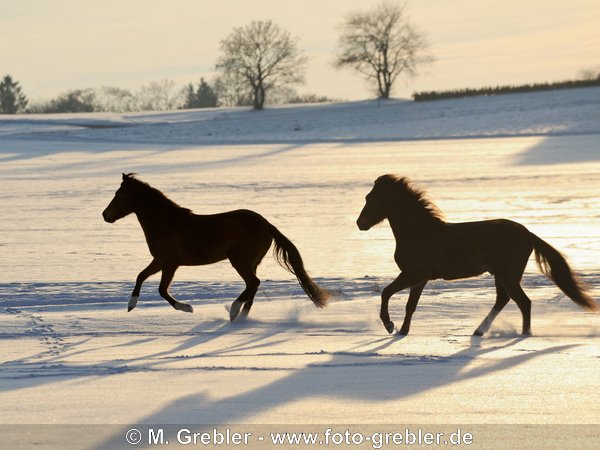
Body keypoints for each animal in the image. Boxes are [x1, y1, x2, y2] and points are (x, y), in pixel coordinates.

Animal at [103, 173, 328, 320]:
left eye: (119, 195)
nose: (105, 215)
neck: (166, 223)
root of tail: (266, 224)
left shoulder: (170, 263)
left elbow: (162, 290)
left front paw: (187, 308)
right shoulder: (160, 260)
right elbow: (140, 276)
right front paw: (131, 305)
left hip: (240, 260)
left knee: (253, 283)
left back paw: (234, 310)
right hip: (251, 262)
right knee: (253, 286)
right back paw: (241, 316)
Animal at [356, 174, 596, 336]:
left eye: (370, 198)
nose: (360, 224)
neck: (420, 233)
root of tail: (528, 234)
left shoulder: (412, 274)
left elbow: (386, 293)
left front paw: (389, 326)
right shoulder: (419, 279)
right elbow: (410, 305)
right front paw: (402, 331)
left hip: (507, 275)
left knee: (523, 302)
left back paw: (523, 334)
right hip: (501, 275)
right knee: (503, 300)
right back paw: (480, 330)